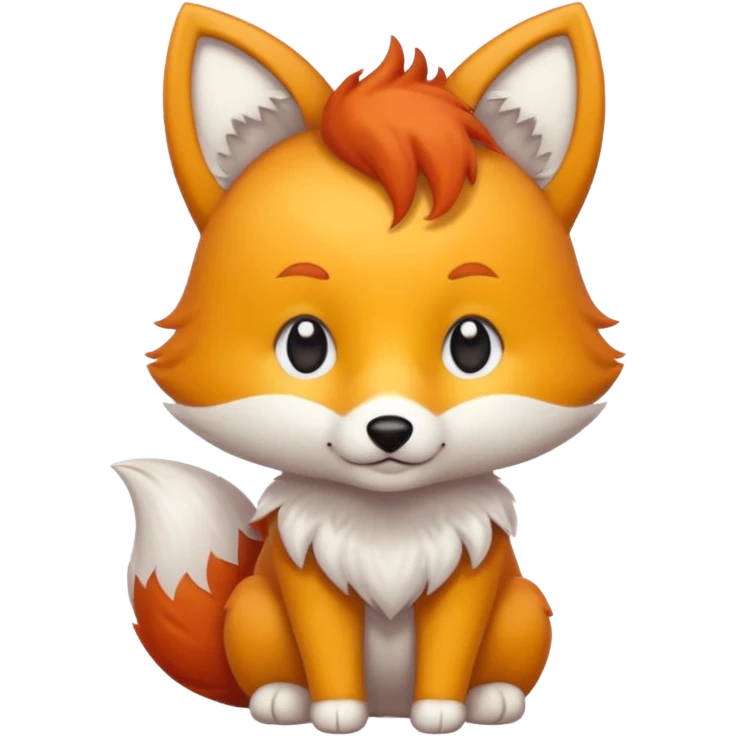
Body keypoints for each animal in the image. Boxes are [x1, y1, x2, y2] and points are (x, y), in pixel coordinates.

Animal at [114, 2, 621, 733]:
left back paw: (494, 699)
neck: (389, 524)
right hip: (254, 608)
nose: (389, 430)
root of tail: (390, 704)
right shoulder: (307, 580)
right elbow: (327, 650)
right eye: (304, 345)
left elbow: (449, 649)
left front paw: (440, 712)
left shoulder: (470, 576)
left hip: (526, 606)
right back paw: (281, 700)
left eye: (472, 345)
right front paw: (334, 712)